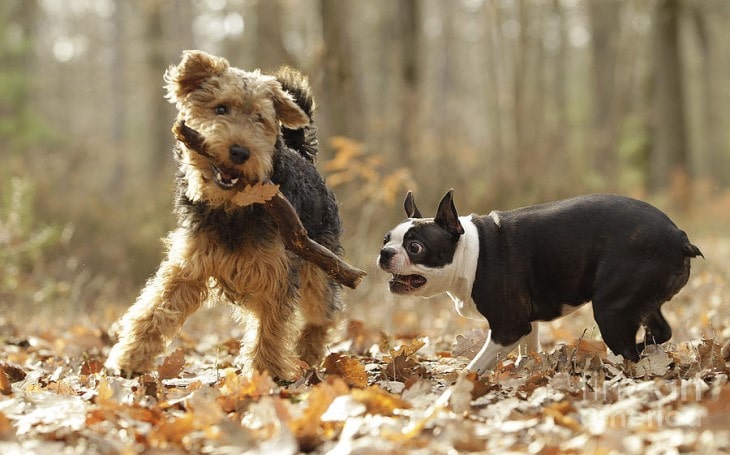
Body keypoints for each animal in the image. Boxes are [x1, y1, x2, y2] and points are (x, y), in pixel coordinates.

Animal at [376, 191, 700, 376]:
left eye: (415, 247)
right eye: (385, 239)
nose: (384, 253)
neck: (469, 251)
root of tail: (678, 237)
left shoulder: (508, 327)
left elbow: (477, 364)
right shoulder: (525, 320)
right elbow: (529, 346)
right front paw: (528, 369)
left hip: (612, 309)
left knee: (628, 349)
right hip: (640, 300)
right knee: (660, 331)